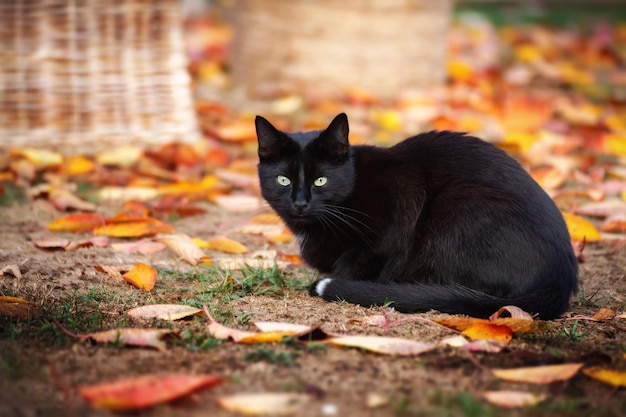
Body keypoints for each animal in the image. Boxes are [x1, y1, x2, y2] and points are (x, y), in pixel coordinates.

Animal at [254, 112, 576, 316]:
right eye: (284, 180)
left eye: (321, 180)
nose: (300, 203)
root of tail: (560, 278)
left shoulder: (394, 214)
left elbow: (357, 264)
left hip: (457, 201)